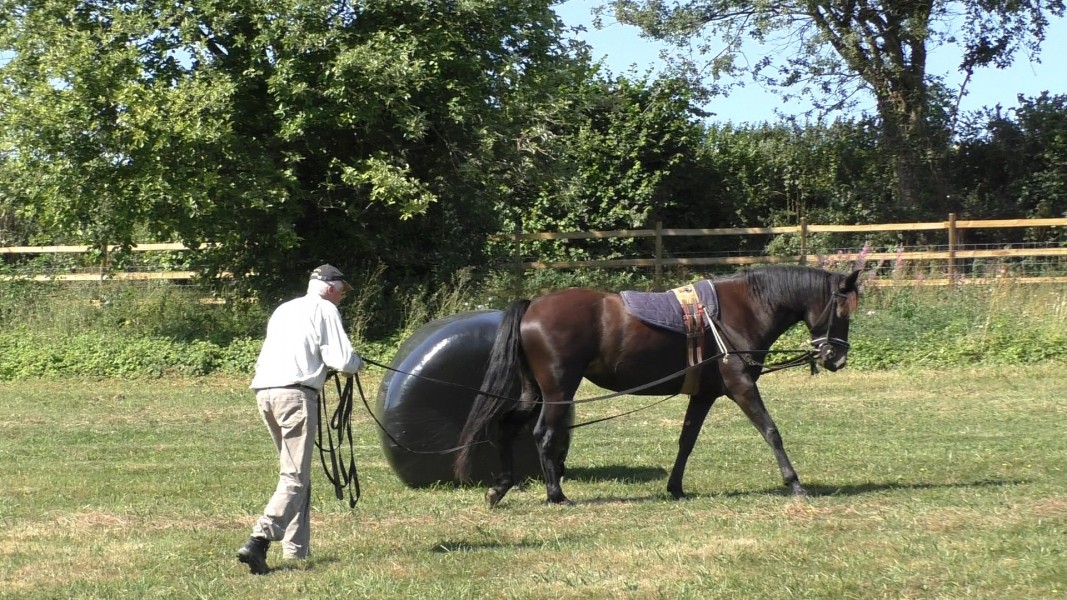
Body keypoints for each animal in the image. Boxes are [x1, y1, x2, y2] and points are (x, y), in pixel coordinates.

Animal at [454, 263, 862, 501]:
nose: (836, 358)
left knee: (507, 426)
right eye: (843, 310)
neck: (742, 310)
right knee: (544, 435)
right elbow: (771, 431)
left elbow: (686, 441)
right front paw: (795, 484)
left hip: (535, 390)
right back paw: (556, 494)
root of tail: (533, 307)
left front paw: (675, 488)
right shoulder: (741, 386)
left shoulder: (705, 394)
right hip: (558, 391)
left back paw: (500, 487)